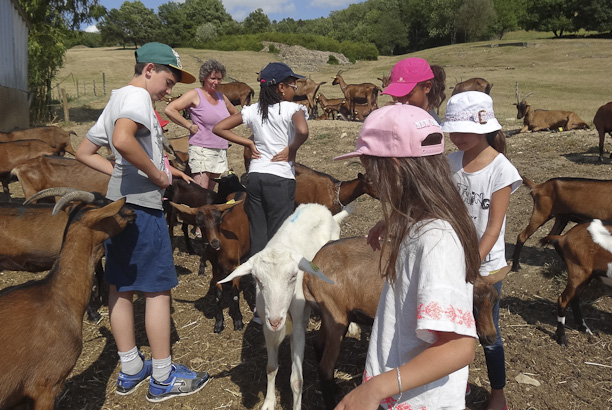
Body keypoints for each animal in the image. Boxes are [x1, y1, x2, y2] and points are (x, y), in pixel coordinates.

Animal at [220, 203, 354, 410]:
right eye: (257, 279)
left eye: (293, 276)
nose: (276, 321)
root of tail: (324, 210)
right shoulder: (268, 328)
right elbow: (271, 368)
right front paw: (268, 402)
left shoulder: (298, 327)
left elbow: (296, 381)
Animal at [304, 235, 502, 408]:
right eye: (472, 304)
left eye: (495, 300)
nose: (490, 337)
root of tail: (310, 271)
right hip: (336, 314)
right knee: (325, 367)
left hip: (330, 315)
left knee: (318, 344)